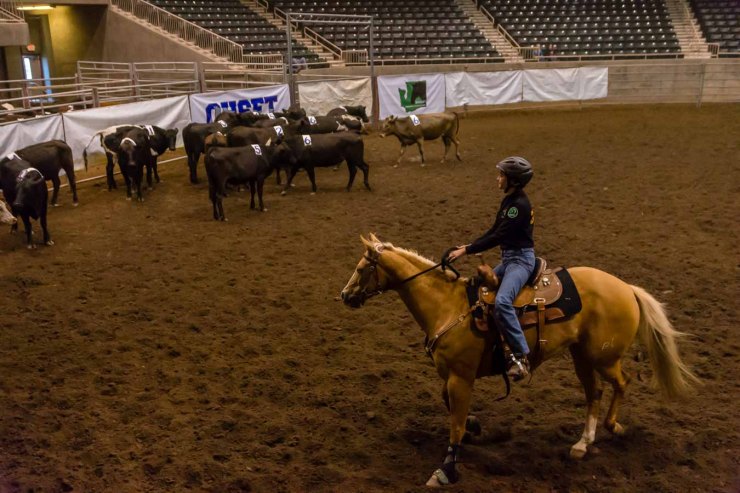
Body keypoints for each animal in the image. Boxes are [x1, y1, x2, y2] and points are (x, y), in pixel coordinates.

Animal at [340, 234, 699, 487]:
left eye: (361, 268)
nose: (344, 295)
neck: (447, 306)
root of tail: (626, 287)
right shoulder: (452, 376)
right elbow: (451, 408)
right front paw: (475, 427)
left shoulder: (461, 377)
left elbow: (454, 422)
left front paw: (446, 469)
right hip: (581, 356)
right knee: (593, 393)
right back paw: (582, 443)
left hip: (604, 357)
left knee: (622, 383)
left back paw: (612, 427)